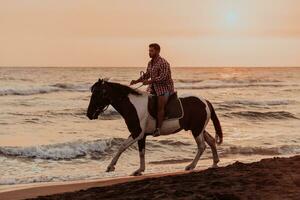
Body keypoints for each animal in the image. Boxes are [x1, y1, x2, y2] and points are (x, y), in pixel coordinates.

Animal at [86, 79, 223, 176]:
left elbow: (122, 147)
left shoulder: (137, 133)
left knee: (202, 146)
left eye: (97, 93)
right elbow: (141, 152)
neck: (134, 106)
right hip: (199, 129)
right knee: (211, 141)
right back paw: (214, 163)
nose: (89, 114)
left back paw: (191, 166)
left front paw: (110, 167)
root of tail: (205, 102)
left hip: (196, 130)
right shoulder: (141, 135)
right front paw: (139, 170)